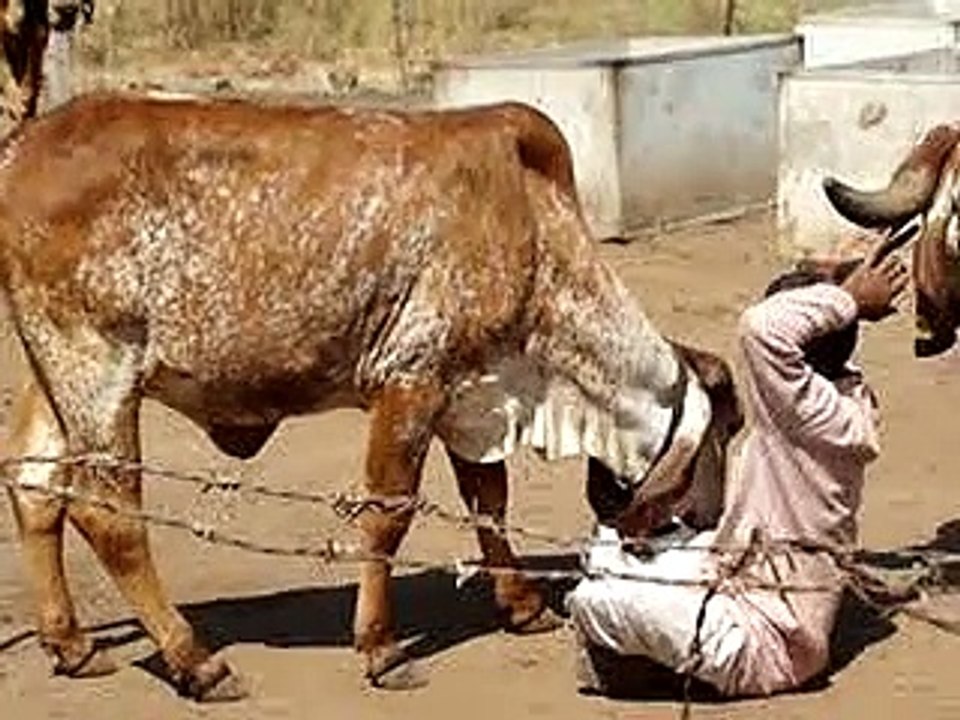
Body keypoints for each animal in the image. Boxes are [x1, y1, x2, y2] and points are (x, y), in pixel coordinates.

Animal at [0, 93, 742, 700]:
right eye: (724, 445)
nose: (715, 523)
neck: (536, 236)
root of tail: (27, 144)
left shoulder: (471, 397)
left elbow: (490, 501)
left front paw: (522, 603)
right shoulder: (410, 379)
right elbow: (389, 514)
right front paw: (382, 648)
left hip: (56, 375)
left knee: (35, 488)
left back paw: (72, 645)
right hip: (100, 368)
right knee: (108, 515)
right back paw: (196, 661)